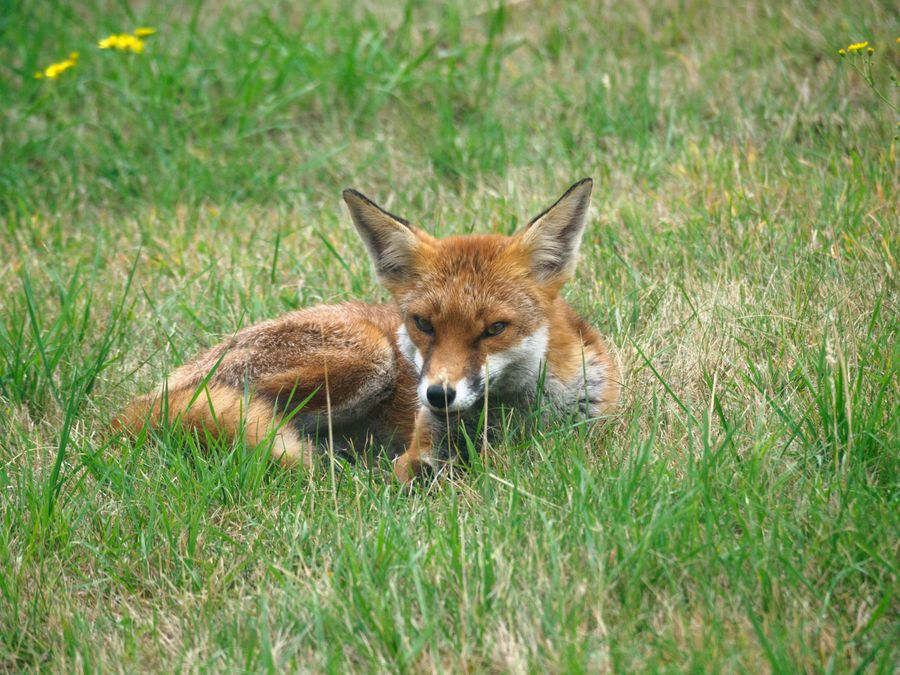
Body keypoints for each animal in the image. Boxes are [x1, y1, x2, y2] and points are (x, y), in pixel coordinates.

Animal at [112, 178, 619, 482]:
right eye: (423, 324)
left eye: (495, 328)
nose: (437, 395)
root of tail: (138, 404)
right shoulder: (421, 440)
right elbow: (415, 464)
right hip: (369, 358)